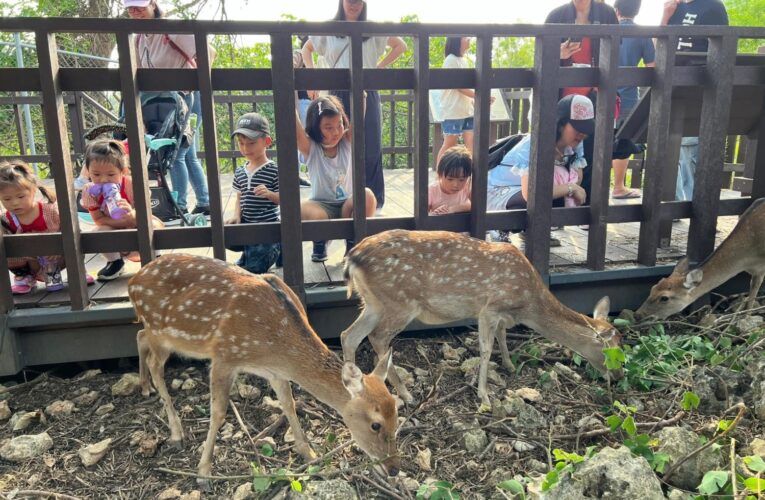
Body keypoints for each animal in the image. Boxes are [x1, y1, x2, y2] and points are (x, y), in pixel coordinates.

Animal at [129, 252, 400, 486]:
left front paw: (310, 454)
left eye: (397, 414)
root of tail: (133, 282)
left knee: (140, 336)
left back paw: (144, 387)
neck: (274, 346)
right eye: (375, 424)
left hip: (163, 334)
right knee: (155, 363)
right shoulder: (224, 356)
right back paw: (176, 432)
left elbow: (289, 404)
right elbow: (218, 412)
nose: (394, 468)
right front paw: (203, 472)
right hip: (162, 331)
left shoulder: (276, 372)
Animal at [340, 230, 620, 406]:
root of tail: (352, 258)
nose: (617, 377)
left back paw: (351, 388)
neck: (527, 302)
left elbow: (503, 336)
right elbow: (486, 348)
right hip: (400, 302)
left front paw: (509, 365)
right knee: (377, 337)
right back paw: (406, 395)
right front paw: (484, 396)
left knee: (349, 335)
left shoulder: (500, 314)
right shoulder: (489, 308)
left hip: (373, 302)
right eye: (610, 351)